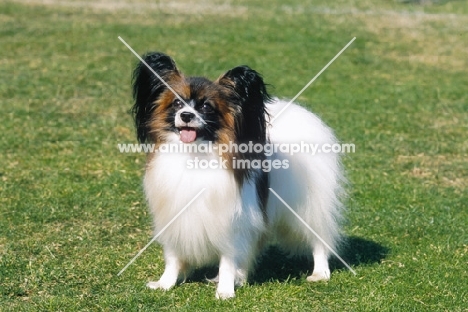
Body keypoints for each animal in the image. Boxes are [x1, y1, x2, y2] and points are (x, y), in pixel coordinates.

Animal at [132, 51, 344, 300]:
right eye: (176, 103)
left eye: (206, 107)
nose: (185, 115)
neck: (194, 154)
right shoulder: (174, 216)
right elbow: (173, 258)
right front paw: (165, 284)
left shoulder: (231, 222)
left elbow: (227, 260)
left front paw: (225, 291)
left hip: (306, 207)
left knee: (319, 239)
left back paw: (320, 273)